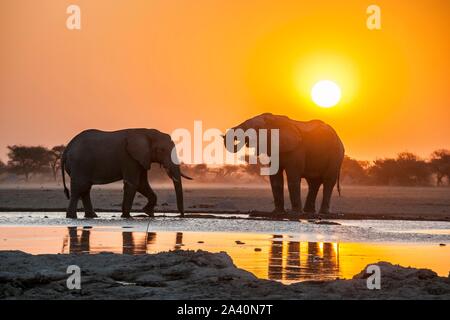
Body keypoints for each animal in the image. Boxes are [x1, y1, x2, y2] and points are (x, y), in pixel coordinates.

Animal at [61, 129, 192, 219]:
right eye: (162, 150)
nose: (181, 216)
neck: (147, 132)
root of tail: (67, 149)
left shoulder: (141, 158)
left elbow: (142, 184)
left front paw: (147, 212)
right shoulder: (129, 158)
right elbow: (133, 183)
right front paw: (126, 216)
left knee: (85, 189)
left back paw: (92, 216)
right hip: (79, 164)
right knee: (80, 188)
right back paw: (71, 217)